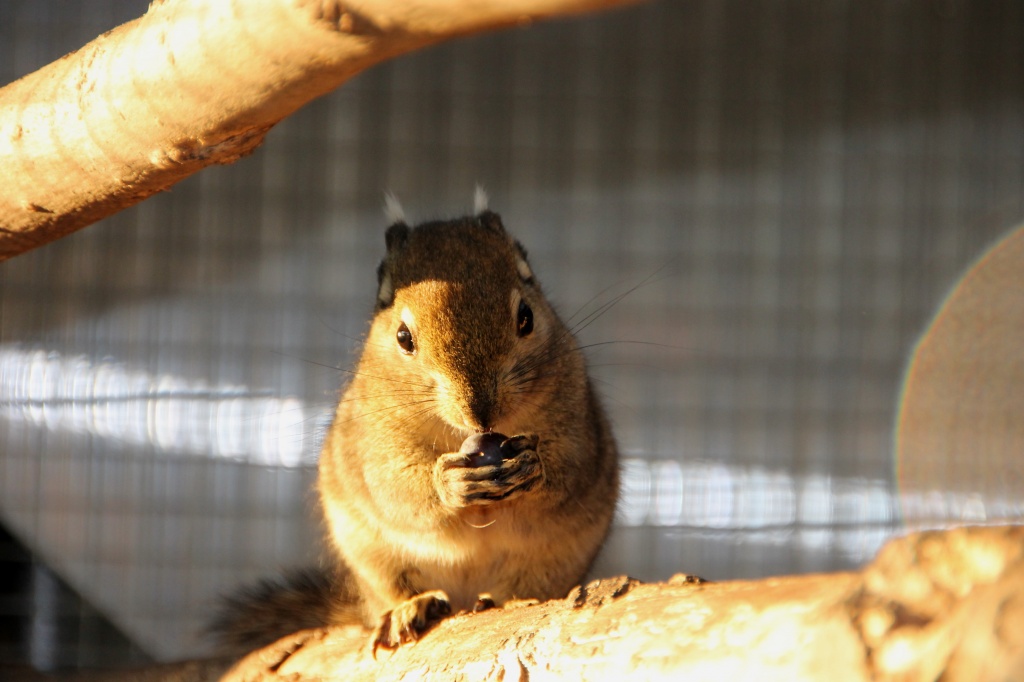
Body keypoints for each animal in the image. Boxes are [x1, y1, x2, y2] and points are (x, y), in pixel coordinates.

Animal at [211, 191, 618, 655]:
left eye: (526, 317)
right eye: (404, 337)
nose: (481, 413)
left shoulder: (578, 419)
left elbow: (571, 469)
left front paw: (534, 467)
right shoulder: (375, 437)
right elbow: (396, 486)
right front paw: (449, 483)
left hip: (556, 559)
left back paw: (507, 598)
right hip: (372, 555)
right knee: (396, 586)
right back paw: (411, 607)